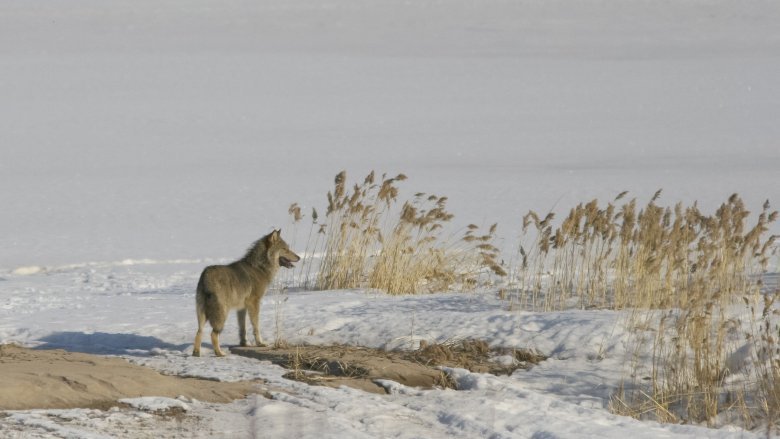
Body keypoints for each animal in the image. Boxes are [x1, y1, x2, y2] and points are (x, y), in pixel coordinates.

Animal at [192, 230, 298, 358]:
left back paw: (196, 354)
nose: (299, 257)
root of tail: (205, 275)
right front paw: (260, 343)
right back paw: (220, 354)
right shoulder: (254, 303)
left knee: (199, 332)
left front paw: (245, 344)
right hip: (222, 315)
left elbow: (242, 328)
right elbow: (256, 326)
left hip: (202, 316)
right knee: (213, 334)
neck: (260, 267)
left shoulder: (241, 308)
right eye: (285, 249)